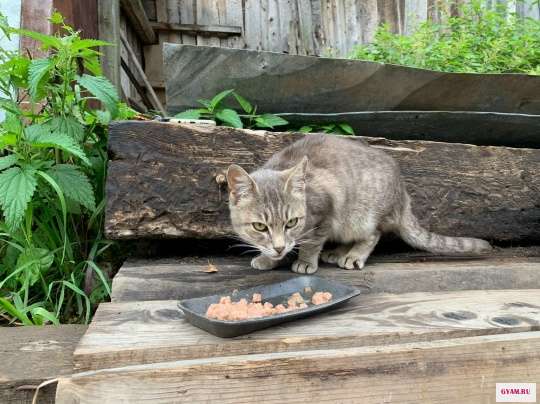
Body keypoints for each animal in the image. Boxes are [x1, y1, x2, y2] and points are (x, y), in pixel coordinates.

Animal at [226, 134, 492, 274]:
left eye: (291, 222)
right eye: (260, 226)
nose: (280, 248)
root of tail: (403, 196)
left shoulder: (325, 212)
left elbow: (311, 242)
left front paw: (304, 261)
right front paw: (269, 258)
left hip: (361, 215)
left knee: (372, 235)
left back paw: (352, 255)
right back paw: (337, 252)